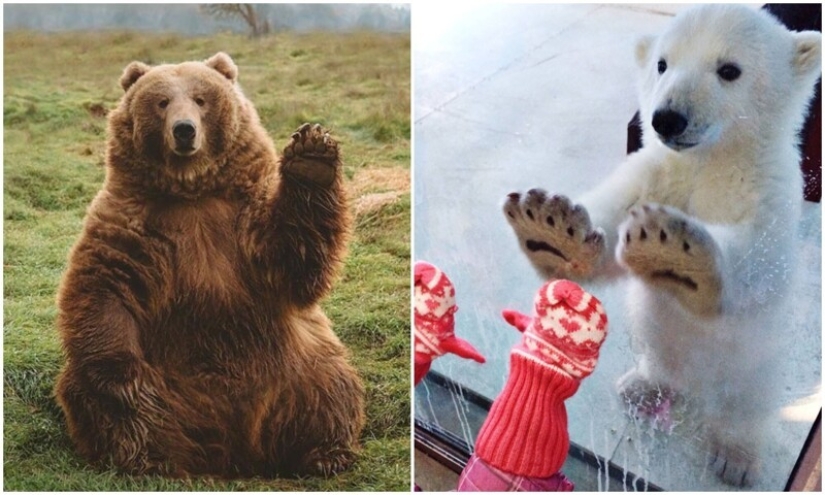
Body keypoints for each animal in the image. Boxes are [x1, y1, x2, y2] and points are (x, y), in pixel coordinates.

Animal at [54, 52, 365, 478]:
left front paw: (312, 156)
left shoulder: (244, 222)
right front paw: (122, 377)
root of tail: (232, 448)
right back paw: (149, 457)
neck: (192, 191)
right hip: (169, 383)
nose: (184, 131)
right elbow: (103, 287)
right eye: (161, 101)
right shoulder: (132, 224)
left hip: (294, 366)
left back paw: (323, 453)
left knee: (327, 386)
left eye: (201, 99)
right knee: (105, 404)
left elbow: (295, 257)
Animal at [503, 5, 821, 487]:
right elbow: (611, 223)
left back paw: (735, 458)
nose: (667, 118)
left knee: (747, 398)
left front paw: (678, 253)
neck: (711, 158)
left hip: (758, 356)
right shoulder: (657, 170)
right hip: (653, 330)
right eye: (662, 63)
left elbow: (757, 256)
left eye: (730, 70)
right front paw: (551, 229)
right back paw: (642, 386)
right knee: (659, 349)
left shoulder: (766, 190)